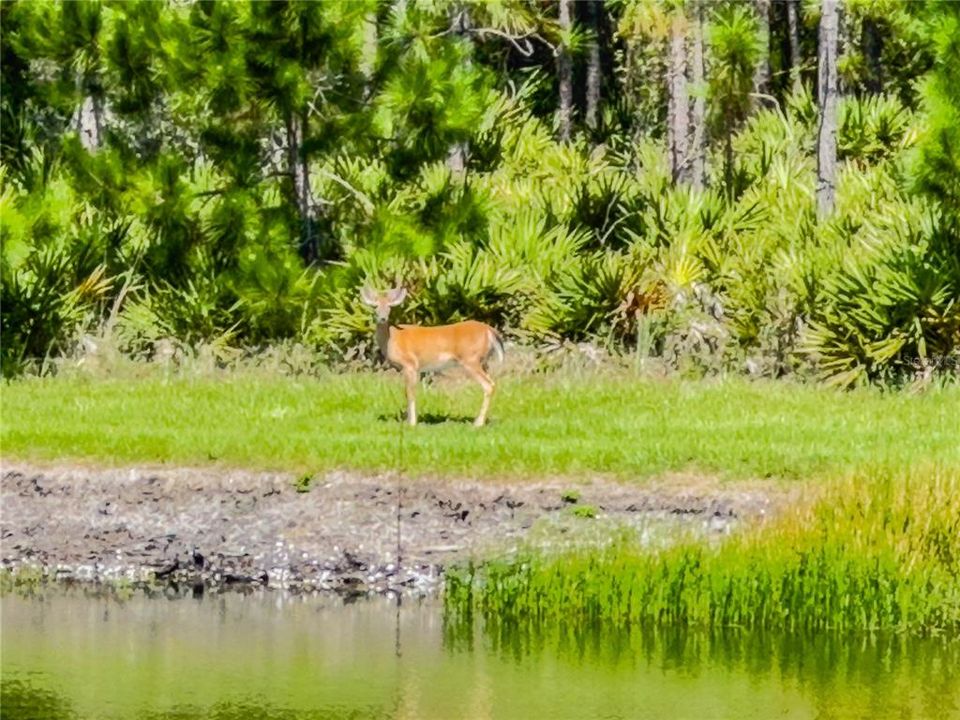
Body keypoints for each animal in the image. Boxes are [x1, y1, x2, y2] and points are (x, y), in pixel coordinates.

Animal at [360, 286, 506, 428]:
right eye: (375, 307)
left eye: (389, 307)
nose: (382, 318)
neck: (392, 338)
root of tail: (490, 330)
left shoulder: (410, 364)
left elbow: (409, 392)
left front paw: (412, 423)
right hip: (483, 361)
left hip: (470, 359)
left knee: (489, 385)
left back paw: (478, 423)